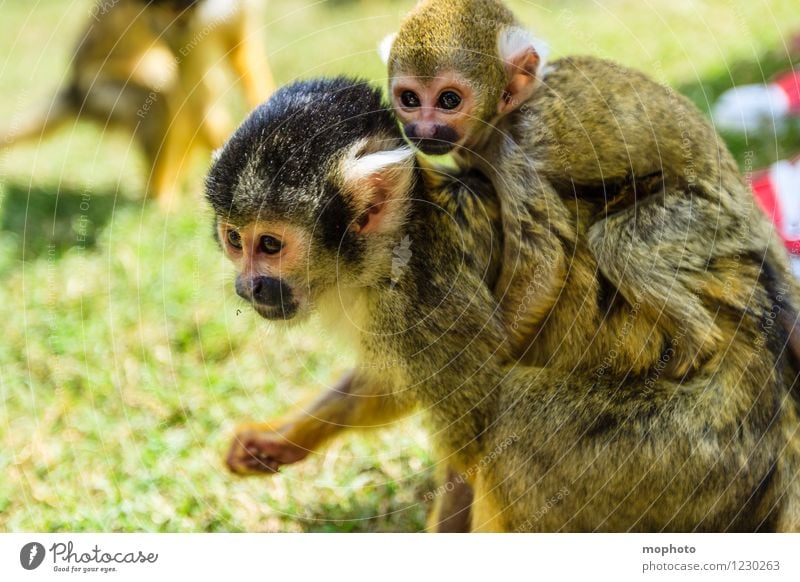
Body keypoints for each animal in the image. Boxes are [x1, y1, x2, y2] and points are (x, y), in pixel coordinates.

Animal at [384, 0, 760, 370]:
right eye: (410, 99)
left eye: (449, 100)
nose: (424, 130)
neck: (499, 122)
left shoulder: (515, 153)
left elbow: (543, 256)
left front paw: (493, 355)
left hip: (717, 218)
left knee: (620, 246)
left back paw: (698, 345)